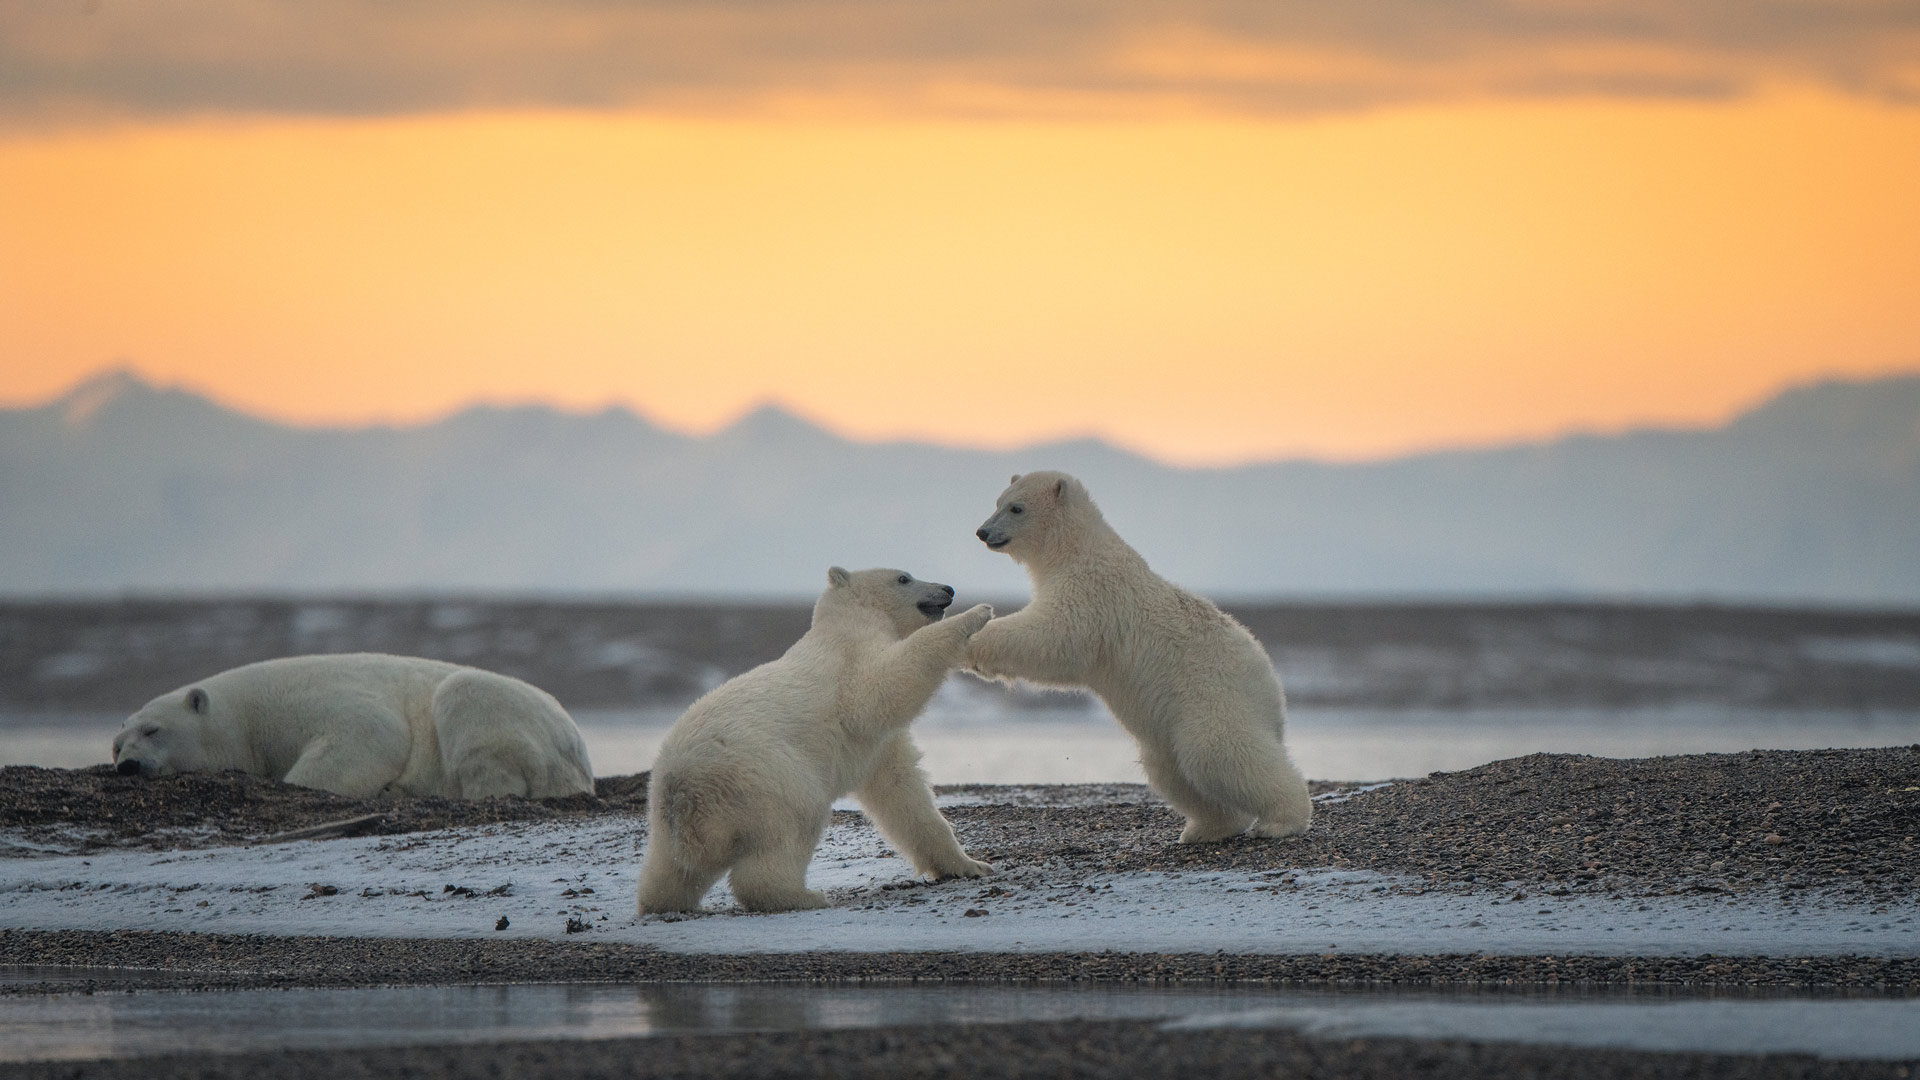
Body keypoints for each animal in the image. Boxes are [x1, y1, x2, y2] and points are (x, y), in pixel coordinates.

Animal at [112, 645, 591, 799]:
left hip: (512, 719)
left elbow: (372, 733)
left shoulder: (311, 700)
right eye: (117, 745)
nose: (127, 766)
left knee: (466, 699)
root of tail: (576, 745)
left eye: (153, 730)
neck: (250, 716)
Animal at [967, 470, 1313, 841]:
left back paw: (1281, 820)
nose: (983, 532)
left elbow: (1053, 636)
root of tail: (1271, 686)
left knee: (1216, 751)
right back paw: (1205, 828)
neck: (1075, 548)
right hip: (1171, 722)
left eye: (1016, 508)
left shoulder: (1091, 592)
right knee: (1170, 767)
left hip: (1212, 694)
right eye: (998, 502)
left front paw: (973, 640)